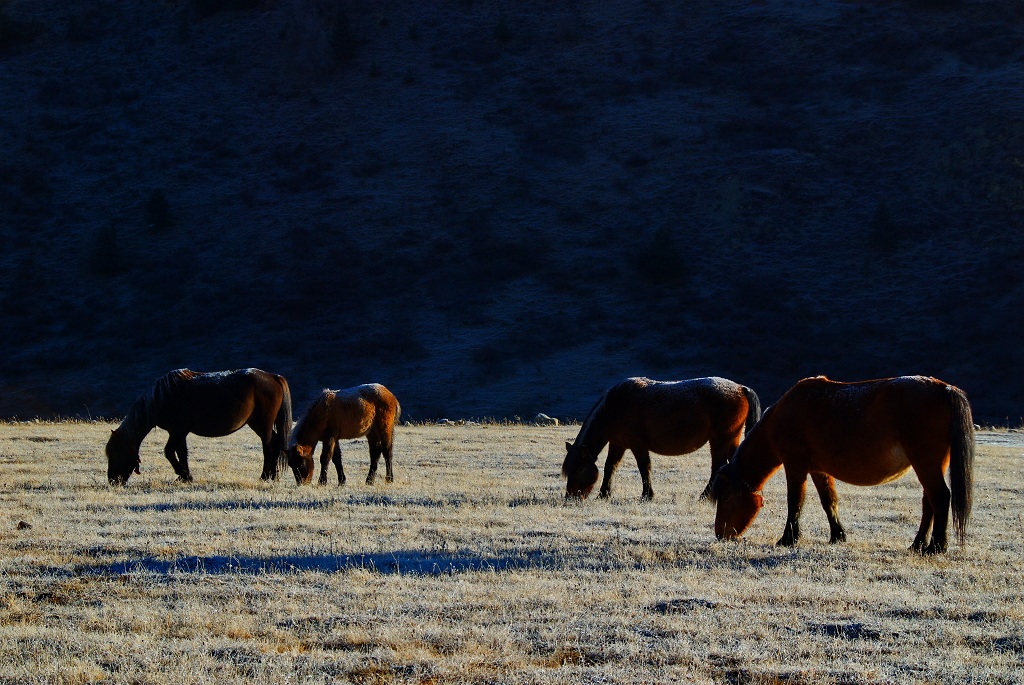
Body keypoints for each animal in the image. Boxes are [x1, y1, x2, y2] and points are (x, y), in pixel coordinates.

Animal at [104, 366, 292, 483]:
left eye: (116, 452)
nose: (112, 480)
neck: (163, 397)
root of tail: (273, 377)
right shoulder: (179, 433)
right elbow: (182, 454)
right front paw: (185, 476)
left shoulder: (178, 432)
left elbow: (169, 452)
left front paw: (182, 473)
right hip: (258, 424)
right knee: (275, 443)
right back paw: (273, 476)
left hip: (263, 424)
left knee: (268, 447)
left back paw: (264, 476)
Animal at [561, 376, 761, 499]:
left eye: (580, 469)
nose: (571, 496)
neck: (615, 406)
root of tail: (741, 388)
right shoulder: (618, 444)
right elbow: (611, 466)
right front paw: (604, 494)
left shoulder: (638, 445)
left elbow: (645, 468)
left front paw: (647, 495)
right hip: (732, 439)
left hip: (720, 440)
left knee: (717, 466)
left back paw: (705, 496)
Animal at [712, 370, 974, 552]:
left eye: (725, 497)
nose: (720, 534)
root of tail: (944, 388)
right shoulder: (818, 470)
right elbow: (829, 501)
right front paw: (837, 535)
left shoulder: (795, 466)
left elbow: (795, 502)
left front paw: (788, 539)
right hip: (931, 464)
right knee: (929, 502)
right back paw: (918, 544)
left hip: (925, 463)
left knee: (940, 498)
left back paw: (936, 547)